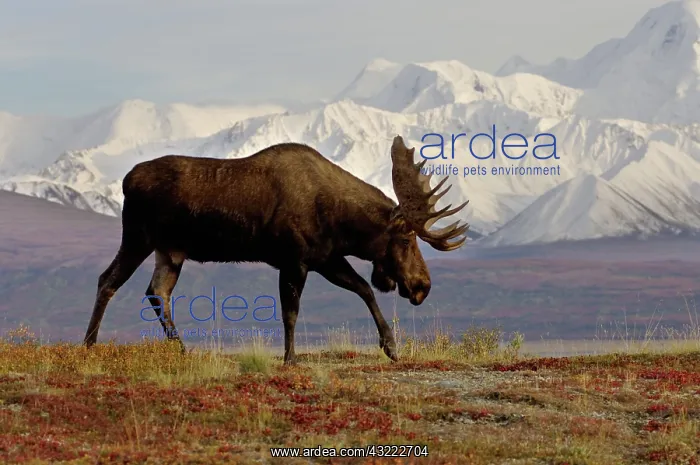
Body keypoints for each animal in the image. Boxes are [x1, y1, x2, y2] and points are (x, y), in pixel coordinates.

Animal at [83, 135, 469, 364]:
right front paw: (290, 358)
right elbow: (290, 312)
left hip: (170, 251)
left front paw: (390, 346)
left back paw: (181, 349)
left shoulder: (325, 258)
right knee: (107, 280)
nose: (422, 286)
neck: (342, 221)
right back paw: (88, 345)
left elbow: (363, 290)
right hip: (138, 237)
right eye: (405, 239)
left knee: (156, 291)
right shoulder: (294, 259)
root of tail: (126, 180)